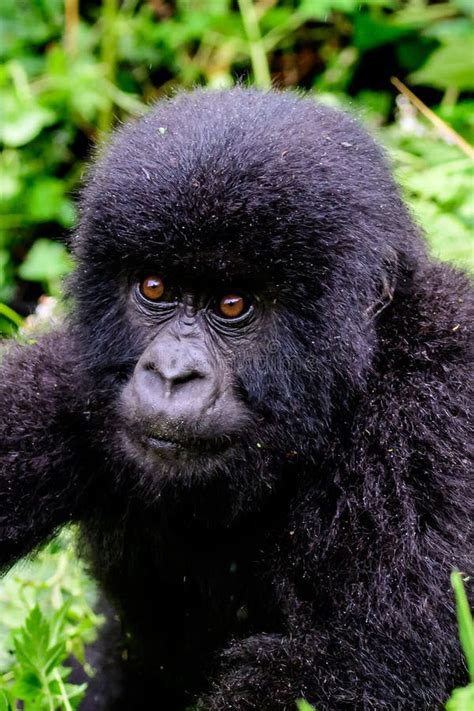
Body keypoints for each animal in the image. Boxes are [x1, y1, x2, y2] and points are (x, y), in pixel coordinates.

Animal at [0, 90, 474, 711]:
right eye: (154, 287)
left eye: (232, 305)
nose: (172, 374)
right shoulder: (75, 378)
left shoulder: (437, 410)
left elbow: (370, 661)